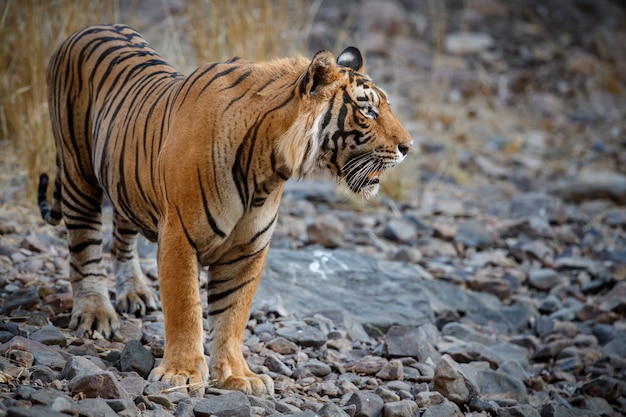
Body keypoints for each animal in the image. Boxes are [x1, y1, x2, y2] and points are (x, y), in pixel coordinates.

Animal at [37, 24, 410, 394]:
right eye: (367, 110)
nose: (408, 146)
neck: (267, 168)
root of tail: (88, 28)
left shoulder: (248, 249)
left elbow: (232, 315)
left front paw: (237, 375)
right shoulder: (179, 236)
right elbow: (186, 307)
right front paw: (182, 373)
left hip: (124, 178)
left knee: (122, 237)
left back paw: (136, 293)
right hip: (77, 172)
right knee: (84, 246)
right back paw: (95, 314)